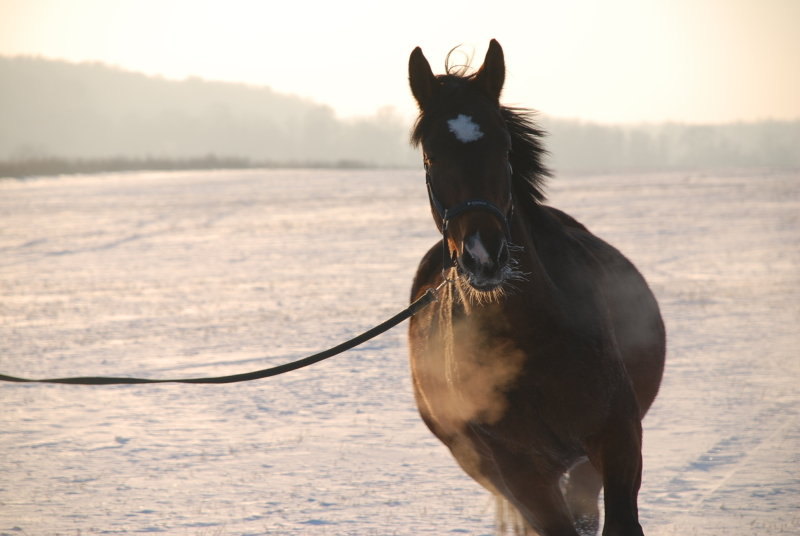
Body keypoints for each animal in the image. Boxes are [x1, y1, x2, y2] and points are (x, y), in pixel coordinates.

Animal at [410, 39, 664, 532]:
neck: (531, 339)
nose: (483, 254)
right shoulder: (519, 468)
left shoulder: (618, 439)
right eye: (431, 156)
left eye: (504, 147)